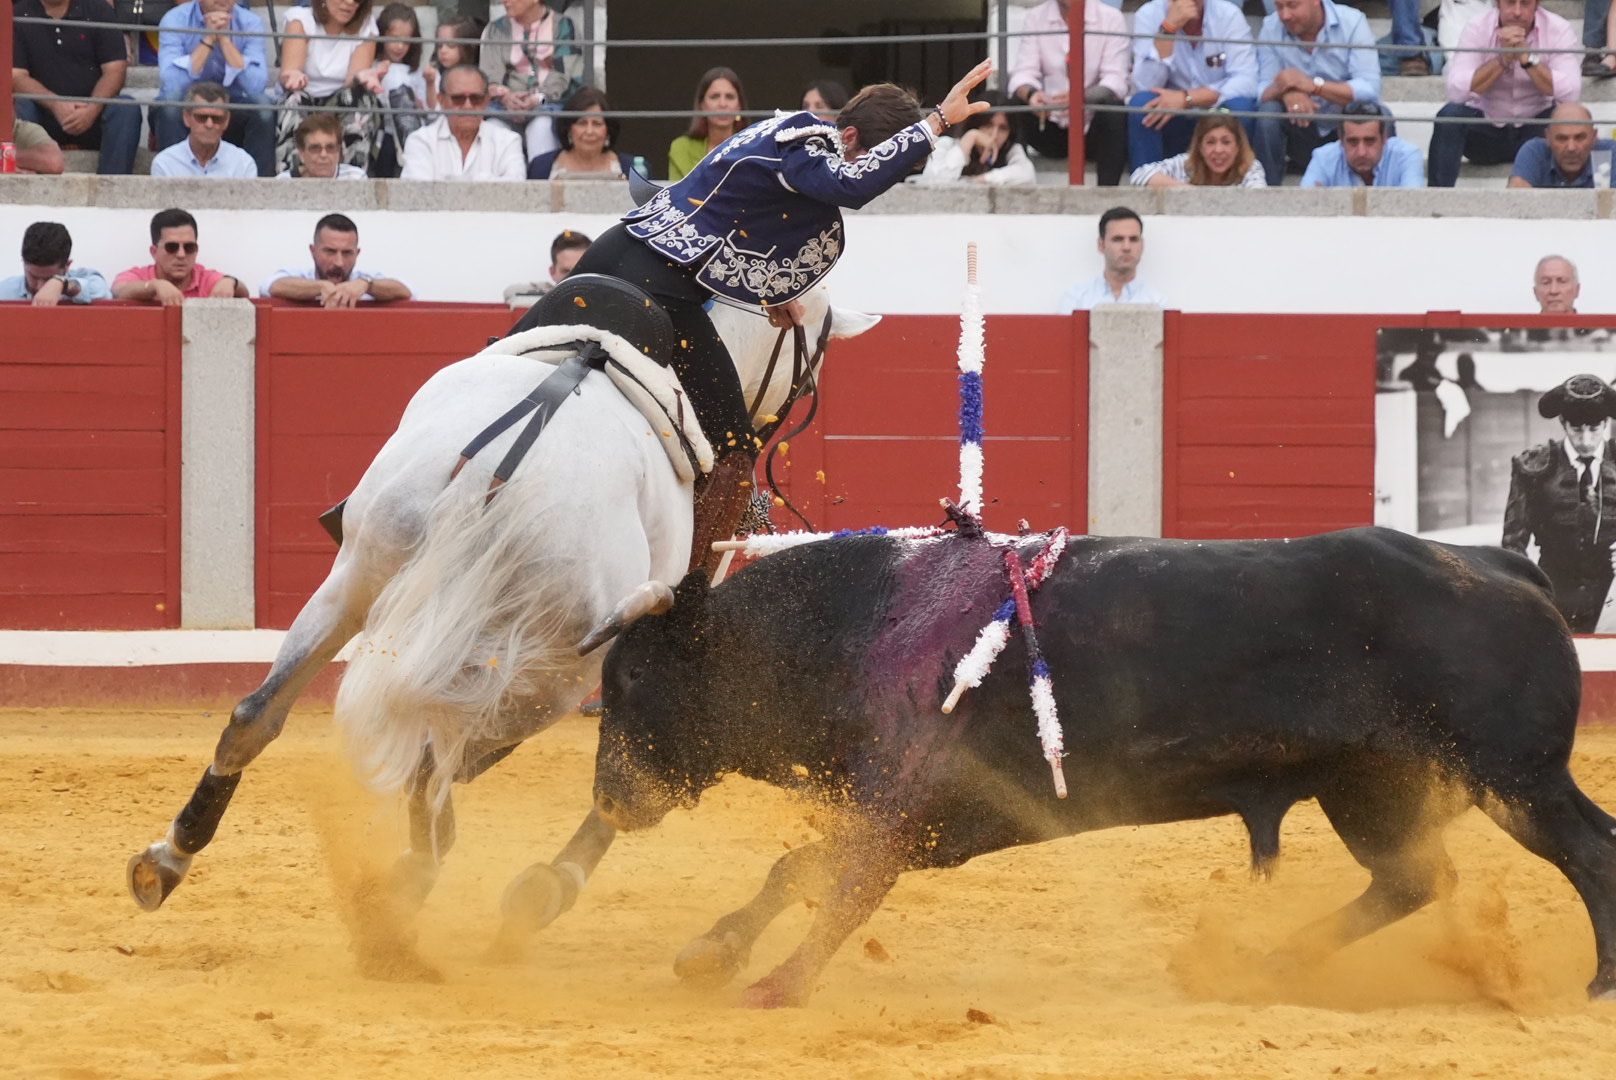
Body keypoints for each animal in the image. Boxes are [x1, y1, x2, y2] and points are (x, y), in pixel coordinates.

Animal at [130, 289, 879, 950]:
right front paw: (549, 886)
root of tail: (501, 464)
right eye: (812, 361)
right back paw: (403, 897)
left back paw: (168, 859)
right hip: (555, 668)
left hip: (360, 575)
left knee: (260, 714)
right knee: (436, 760)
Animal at [591, 527, 1616, 1008]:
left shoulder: (907, 809)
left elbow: (836, 887)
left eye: (630, 679)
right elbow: (801, 871)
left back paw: (1600, 985)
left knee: (1586, 851)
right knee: (1413, 879)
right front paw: (713, 955)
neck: (856, 622)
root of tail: (1501, 566)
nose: (609, 798)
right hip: (1370, 789)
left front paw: (771, 985)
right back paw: (1268, 963)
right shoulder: (927, 820)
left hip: (1514, 777)